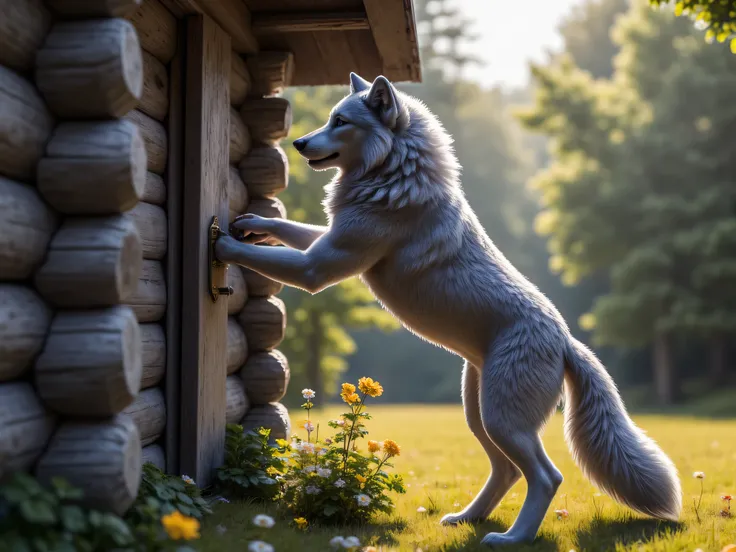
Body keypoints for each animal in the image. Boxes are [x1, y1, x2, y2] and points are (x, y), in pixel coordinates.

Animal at [214, 73, 682, 546]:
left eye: (340, 121)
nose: (299, 143)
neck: (394, 173)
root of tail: (567, 341)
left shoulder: (318, 267)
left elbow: (265, 255)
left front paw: (224, 243)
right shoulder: (325, 244)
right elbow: (288, 230)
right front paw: (252, 224)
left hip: (503, 420)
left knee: (546, 477)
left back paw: (512, 538)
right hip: (480, 416)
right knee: (508, 472)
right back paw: (467, 519)